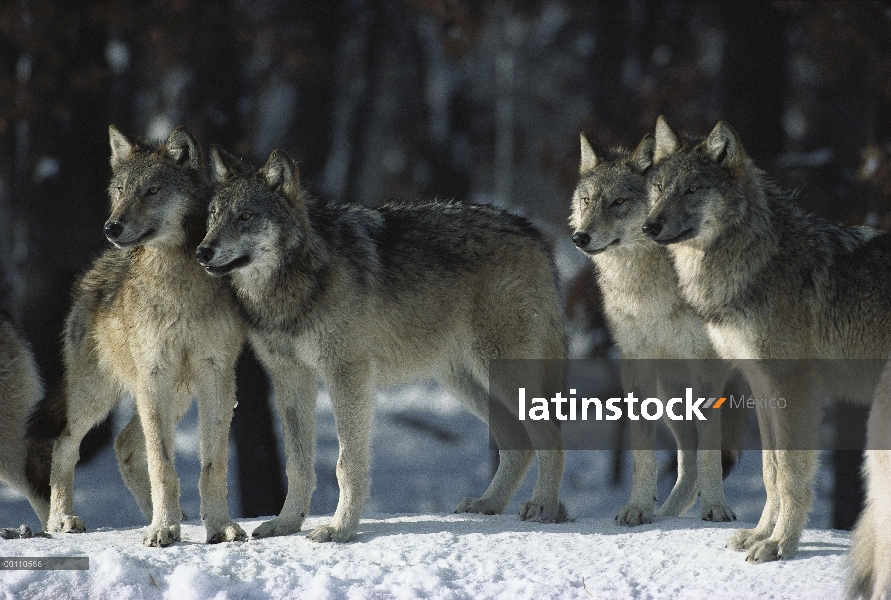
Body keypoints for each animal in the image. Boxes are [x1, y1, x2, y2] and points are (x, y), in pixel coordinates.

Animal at [30, 126, 247, 548]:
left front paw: (219, 526)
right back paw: (63, 519)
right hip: (99, 394)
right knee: (65, 445)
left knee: (125, 446)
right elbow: (163, 463)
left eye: (152, 191)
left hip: (175, 395)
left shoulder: (216, 374)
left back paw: (169, 519)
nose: (111, 227)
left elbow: (212, 465)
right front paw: (162, 530)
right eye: (120, 190)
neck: (176, 280)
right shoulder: (154, 374)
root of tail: (96, 267)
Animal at [199, 146, 568, 544]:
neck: (295, 282)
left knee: (550, 433)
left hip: (499, 371)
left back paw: (543, 506)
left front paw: (341, 528)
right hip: (464, 382)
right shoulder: (289, 376)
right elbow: (296, 464)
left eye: (245, 216)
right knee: (517, 441)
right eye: (214, 216)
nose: (202, 251)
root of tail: (532, 232)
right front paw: (286, 524)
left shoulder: (348, 372)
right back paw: (489, 503)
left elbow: (347, 464)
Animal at [572, 132, 740, 524]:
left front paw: (716, 508)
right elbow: (643, 455)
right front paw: (636, 508)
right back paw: (666, 514)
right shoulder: (637, 366)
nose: (580, 237)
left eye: (618, 202)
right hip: (669, 399)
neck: (647, 288)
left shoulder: (707, 364)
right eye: (587, 200)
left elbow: (710, 454)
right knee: (687, 462)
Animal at [644, 113, 891, 564]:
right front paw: (760, 534)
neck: (753, 260)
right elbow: (771, 471)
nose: (649, 226)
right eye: (659, 188)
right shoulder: (761, 386)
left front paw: (780, 546)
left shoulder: (794, 388)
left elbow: (791, 475)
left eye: (692, 190)